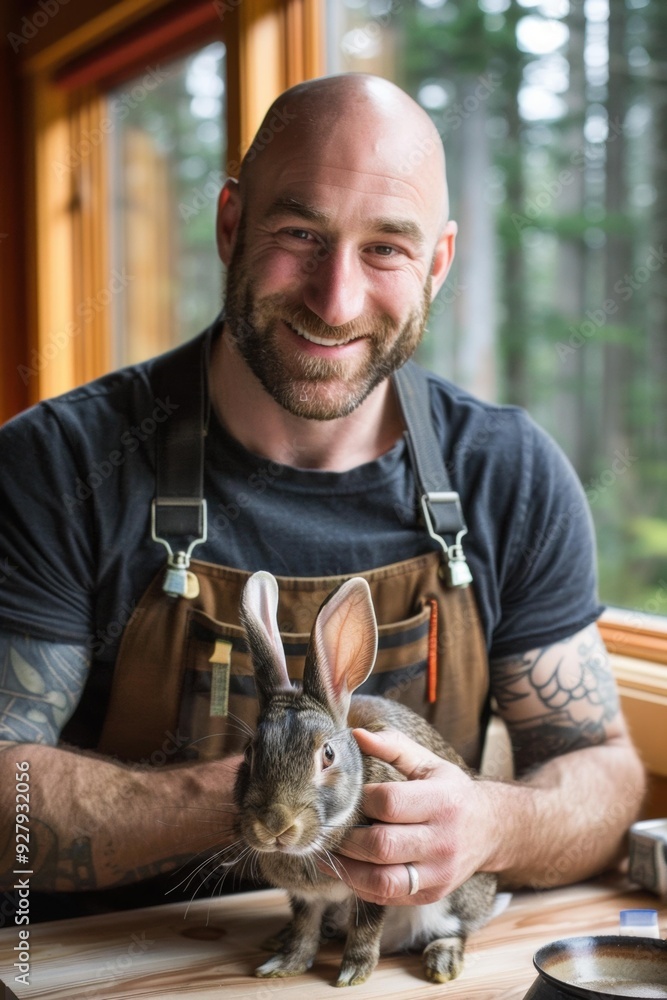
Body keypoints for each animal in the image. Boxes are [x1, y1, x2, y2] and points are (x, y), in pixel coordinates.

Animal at [235, 572, 496, 984]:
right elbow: (304, 928)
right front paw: (284, 966)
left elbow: (366, 928)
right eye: (249, 753)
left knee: (457, 929)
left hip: (450, 898)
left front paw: (352, 974)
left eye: (327, 755)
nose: (275, 825)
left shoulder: (375, 892)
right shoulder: (306, 899)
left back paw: (441, 962)